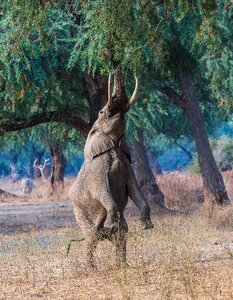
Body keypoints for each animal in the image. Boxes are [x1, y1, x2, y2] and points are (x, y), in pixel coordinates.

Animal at [68, 73, 154, 270]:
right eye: (101, 112)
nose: (113, 67)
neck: (113, 145)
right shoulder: (97, 171)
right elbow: (103, 193)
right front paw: (112, 223)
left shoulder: (127, 164)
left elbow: (135, 190)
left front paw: (147, 226)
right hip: (80, 212)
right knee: (92, 236)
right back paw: (92, 268)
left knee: (122, 234)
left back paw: (122, 264)